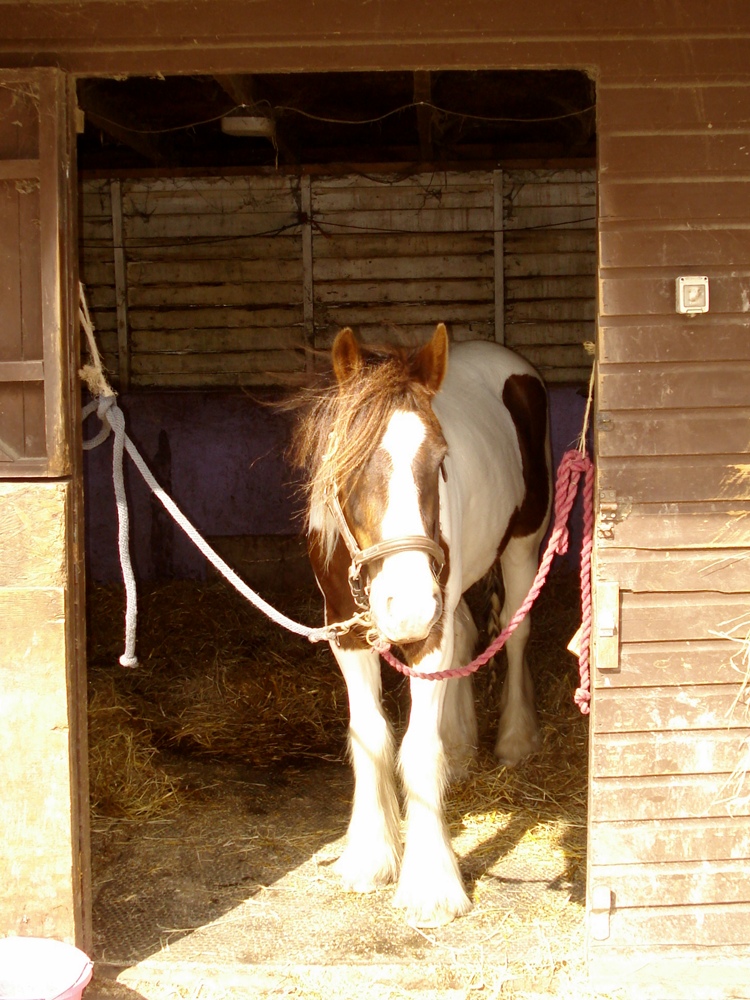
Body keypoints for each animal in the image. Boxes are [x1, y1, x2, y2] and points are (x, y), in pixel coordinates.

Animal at [290, 322, 552, 928]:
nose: (405, 608)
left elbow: (417, 748)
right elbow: (371, 737)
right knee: (466, 633)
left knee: (514, 635)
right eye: (350, 462)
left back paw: (513, 739)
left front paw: (431, 884)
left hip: (521, 545)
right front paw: (369, 857)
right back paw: (461, 744)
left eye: (439, 460)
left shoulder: (427, 632)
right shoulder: (345, 629)